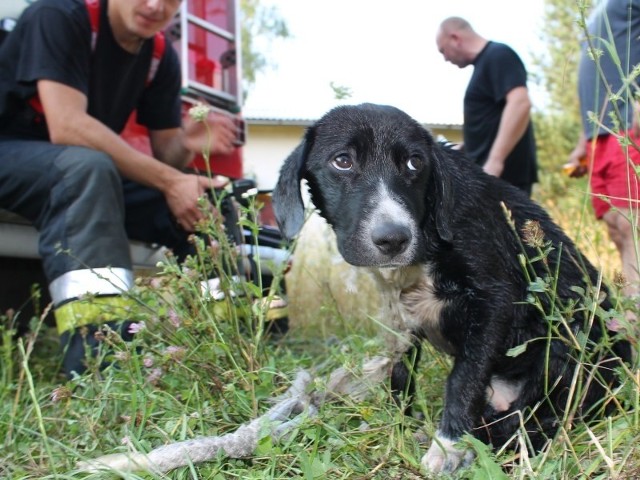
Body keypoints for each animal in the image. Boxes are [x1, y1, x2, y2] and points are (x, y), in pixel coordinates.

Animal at [272, 103, 632, 474]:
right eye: (342, 161)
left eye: (415, 162)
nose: (393, 239)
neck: (430, 229)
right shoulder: (399, 315)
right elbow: (400, 374)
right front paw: (399, 423)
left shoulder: (495, 301)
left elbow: (464, 379)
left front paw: (448, 445)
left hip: (567, 350)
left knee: (529, 422)